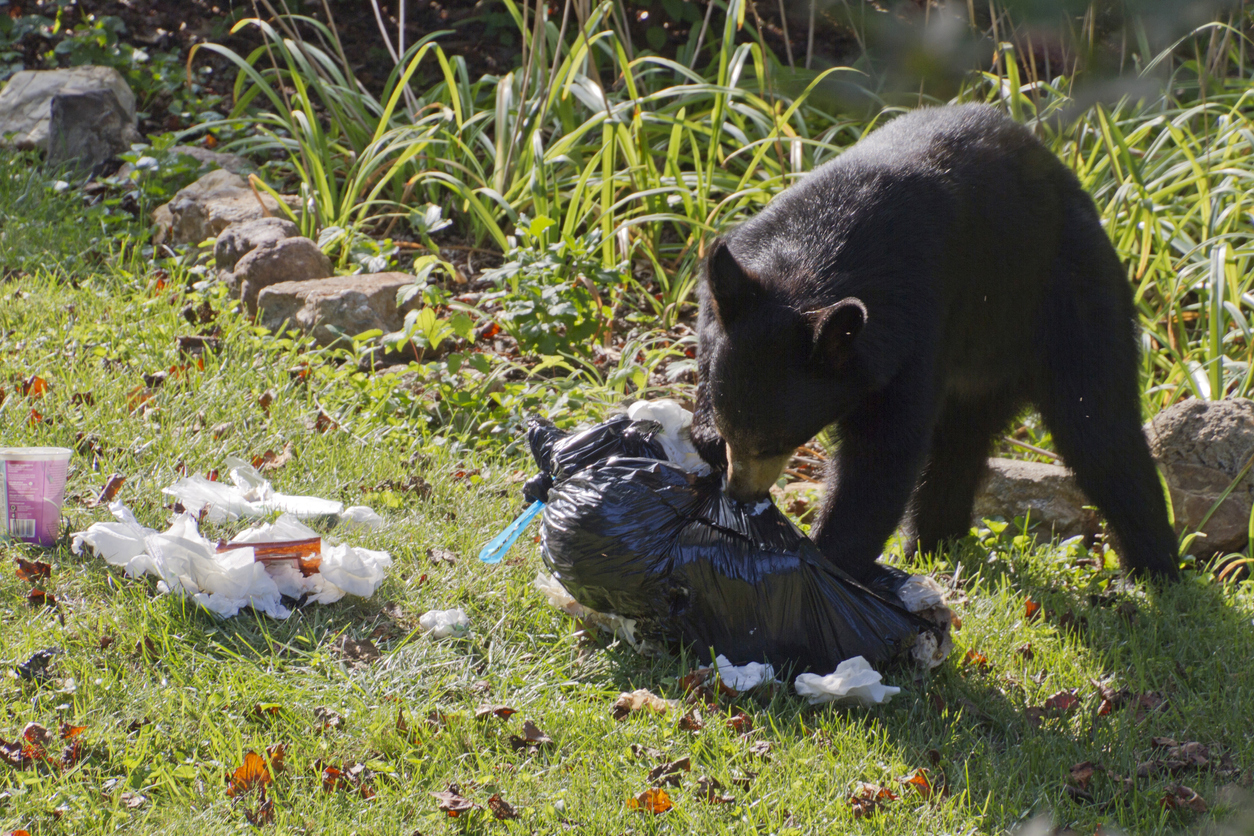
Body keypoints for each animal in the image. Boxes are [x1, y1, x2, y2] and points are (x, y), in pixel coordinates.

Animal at [692, 102, 1178, 581]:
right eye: (731, 430)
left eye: (774, 443)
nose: (740, 493)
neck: (810, 259)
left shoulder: (915, 326)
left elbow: (884, 451)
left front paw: (829, 557)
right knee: (958, 443)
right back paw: (935, 541)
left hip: (1068, 298)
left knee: (1099, 429)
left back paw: (1156, 568)